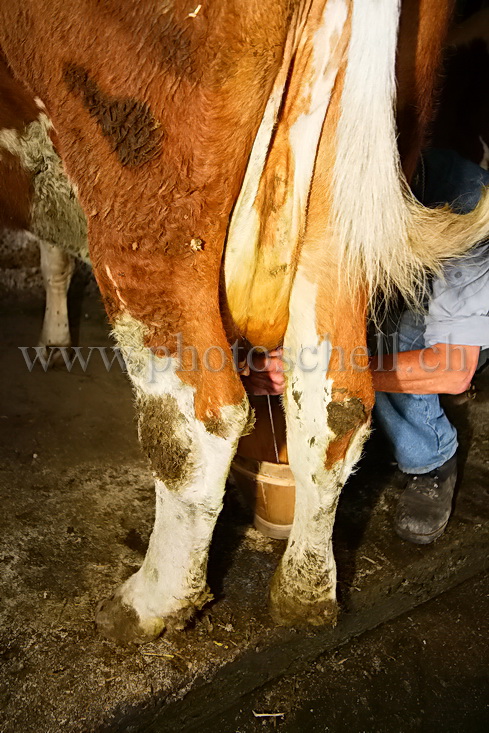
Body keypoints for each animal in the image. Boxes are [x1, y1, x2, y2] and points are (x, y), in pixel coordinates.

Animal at [0, 0, 488, 640]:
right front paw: (55, 337)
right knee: (336, 410)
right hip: (342, 224)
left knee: (197, 424)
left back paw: (149, 604)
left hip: (145, 206)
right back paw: (305, 596)